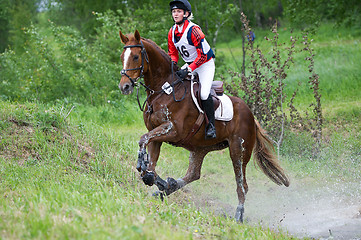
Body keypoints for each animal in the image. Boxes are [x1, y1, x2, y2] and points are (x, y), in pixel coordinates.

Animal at [118, 29, 290, 222]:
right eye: (122, 56)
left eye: (135, 56)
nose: (124, 86)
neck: (164, 90)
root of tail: (251, 116)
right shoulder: (156, 134)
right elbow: (149, 165)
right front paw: (157, 179)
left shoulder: (173, 130)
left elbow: (143, 142)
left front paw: (148, 170)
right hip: (200, 148)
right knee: (194, 173)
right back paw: (171, 186)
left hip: (238, 150)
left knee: (242, 184)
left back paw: (238, 215)